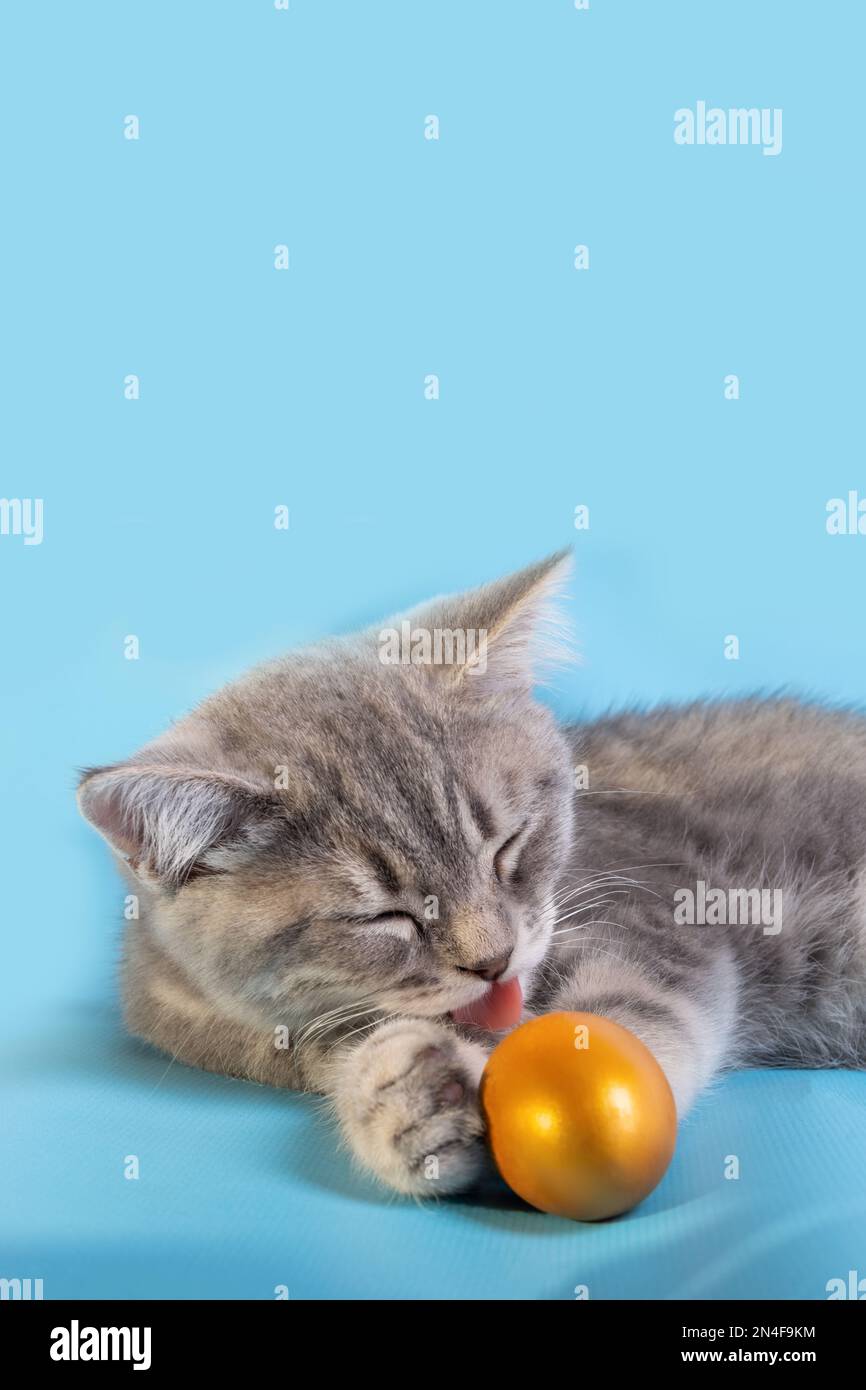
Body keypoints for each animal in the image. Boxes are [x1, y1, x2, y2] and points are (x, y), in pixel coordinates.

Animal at [77, 553, 866, 1195]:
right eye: (384, 916)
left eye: (507, 846)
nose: (494, 961)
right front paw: (402, 1095)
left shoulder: (658, 911)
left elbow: (630, 1012)